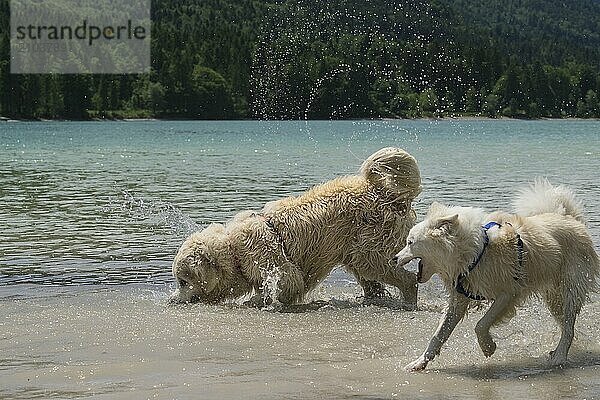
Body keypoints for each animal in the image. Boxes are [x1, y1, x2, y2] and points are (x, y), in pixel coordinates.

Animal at [169, 148, 422, 308]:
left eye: (183, 281)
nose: (171, 299)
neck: (233, 253)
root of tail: (385, 193)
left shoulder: (276, 265)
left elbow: (285, 284)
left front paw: (256, 301)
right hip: (354, 251)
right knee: (372, 282)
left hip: (368, 250)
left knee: (404, 277)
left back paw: (408, 302)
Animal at [396, 180, 596, 370]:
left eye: (410, 242)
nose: (394, 258)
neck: (473, 254)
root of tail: (573, 220)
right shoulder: (458, 300)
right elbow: (438, 335)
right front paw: (419, 363)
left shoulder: (509, 294)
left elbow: (481, 324)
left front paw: (488, 347)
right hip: (553, 295)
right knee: (565, 323)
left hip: (571, 286)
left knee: (569, 324)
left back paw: (560, 356)